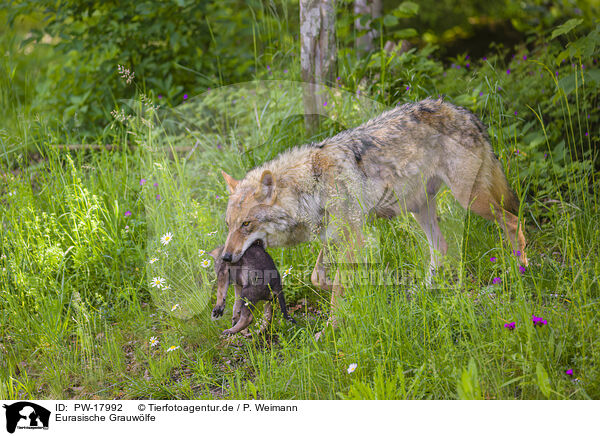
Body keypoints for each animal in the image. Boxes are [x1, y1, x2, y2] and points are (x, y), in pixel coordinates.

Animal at [219, 99, 524, 334]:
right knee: (441, 247)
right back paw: (422, 291)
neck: (309, 188)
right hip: (419, 209)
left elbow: (337, 286)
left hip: (471, 200)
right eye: (229, 225)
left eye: (246, 224)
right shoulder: (333, 238)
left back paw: (522, 269)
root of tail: (464, 112)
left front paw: (330, 328)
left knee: (513, 221)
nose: (226, 257)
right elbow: (320, 277)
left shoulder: (353, 237)